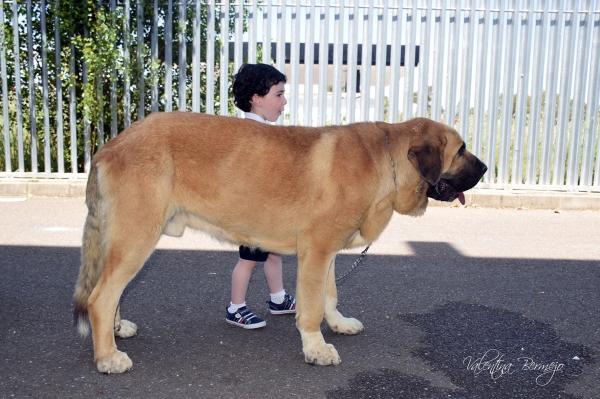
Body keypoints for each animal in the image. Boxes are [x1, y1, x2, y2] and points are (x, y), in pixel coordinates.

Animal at [74, 113, 488, 376]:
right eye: (461, 149)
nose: (485, 169)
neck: (386, 161)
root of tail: (109, 146)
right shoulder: (316, 251)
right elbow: (312, 308)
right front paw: (316, 348)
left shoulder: (326, 252)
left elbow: (329, 295)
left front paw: (337, 324)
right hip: (138, 237)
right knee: (100, 296)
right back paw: (108, 357)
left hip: (124, 240)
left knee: (108, 291)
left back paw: (114, 331)